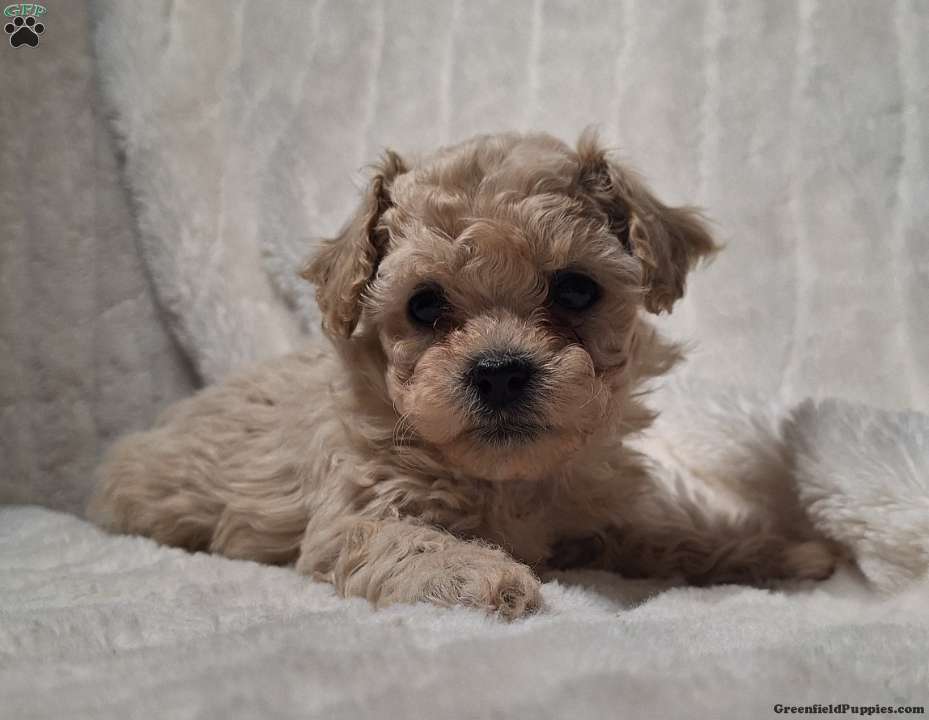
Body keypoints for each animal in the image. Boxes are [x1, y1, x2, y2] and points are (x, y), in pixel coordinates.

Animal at [90, 130, 837, 619]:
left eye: (576, 290)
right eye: (423, 306)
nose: (500, 372)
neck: (507, 480)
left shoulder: (592, 521)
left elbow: (666, 534)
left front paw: (773, 553)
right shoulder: (357, 514)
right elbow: (413, 542)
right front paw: (480, 574)